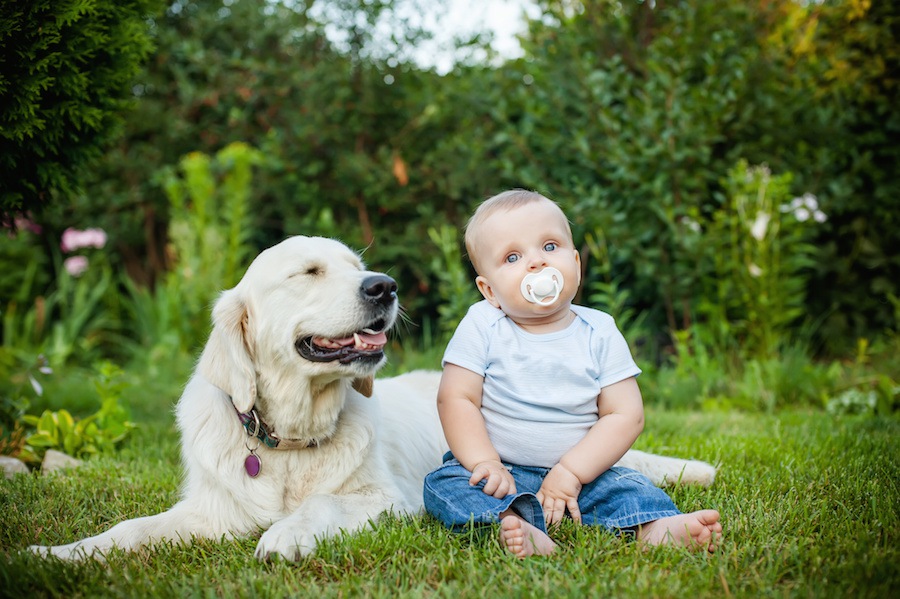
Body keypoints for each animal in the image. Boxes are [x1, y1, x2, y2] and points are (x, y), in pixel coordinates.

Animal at [29, 236, 716, 564]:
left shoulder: (387, 500)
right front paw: (58, 554)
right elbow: (129, 529)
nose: (383, 286)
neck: (287, 441)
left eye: (356, 266)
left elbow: (322, 505)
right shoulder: (211, 511)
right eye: (307, 272)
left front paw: (286, 535)